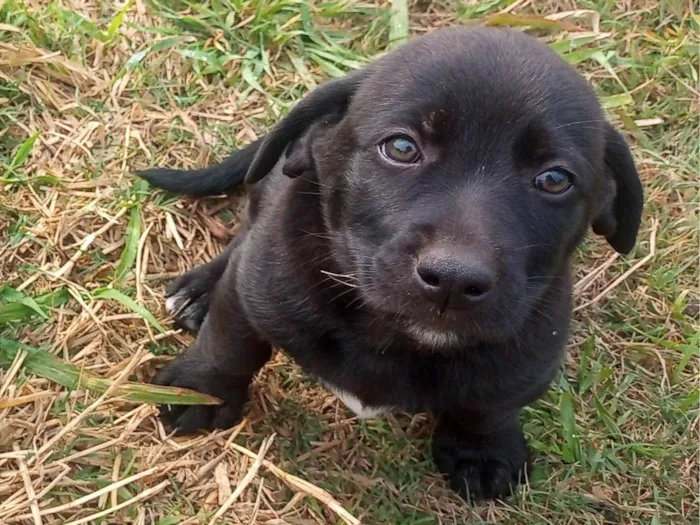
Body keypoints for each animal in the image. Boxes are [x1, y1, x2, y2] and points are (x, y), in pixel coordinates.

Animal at [138, 27, 644, 500]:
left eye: (554, 179)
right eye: (401, 148)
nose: (453, 280)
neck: (390, 331)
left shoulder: (529, 350)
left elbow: (490, 403)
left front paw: (483, 450)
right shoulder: (256, 285)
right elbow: (230, 343)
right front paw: (197, 390)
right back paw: (200, 289)